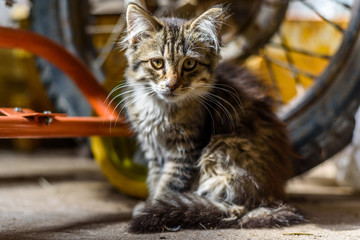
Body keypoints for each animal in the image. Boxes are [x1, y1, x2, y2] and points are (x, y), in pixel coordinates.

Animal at [119, 2, 304, 233]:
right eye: (157, 63)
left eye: (189, 64)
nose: (171, 85)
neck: (160, 109)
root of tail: (270, 198)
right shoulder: (153, 150)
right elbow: (154, 179)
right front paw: (150, 202)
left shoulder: (186, 151)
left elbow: (169, 185)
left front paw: (153, 206)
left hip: (223, 150)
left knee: (235, 208)